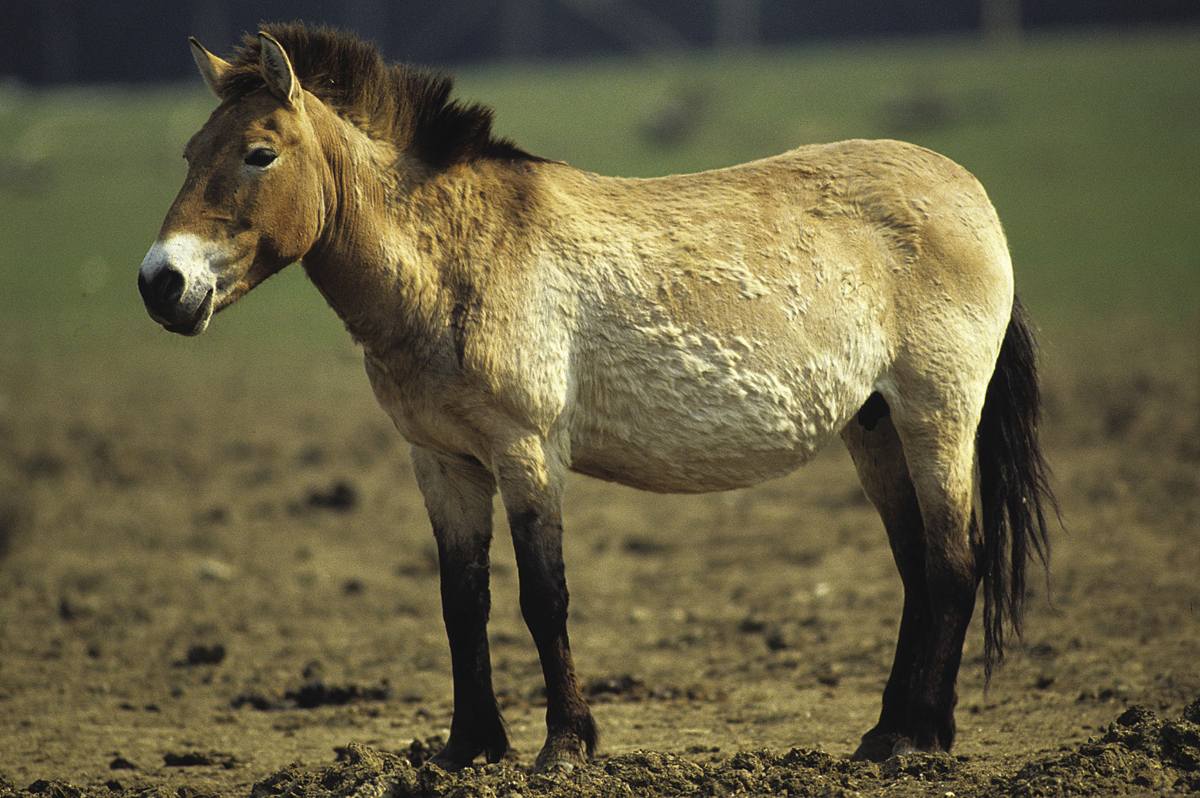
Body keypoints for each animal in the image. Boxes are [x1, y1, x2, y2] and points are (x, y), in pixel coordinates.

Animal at [140, 23, 1056, 772]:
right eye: (188, 152)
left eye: (260, 153)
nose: (162, 283)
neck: (454, 258)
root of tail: (970, 195)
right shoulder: (441, 461)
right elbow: (461, 601)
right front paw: (467, 749)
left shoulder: (526, 451)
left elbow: (542, 597)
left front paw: (565, 746)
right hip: (874, 427)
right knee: (919, 569)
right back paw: (887, 733)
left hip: (936, 416)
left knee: (954, 562)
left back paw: (916, 741)